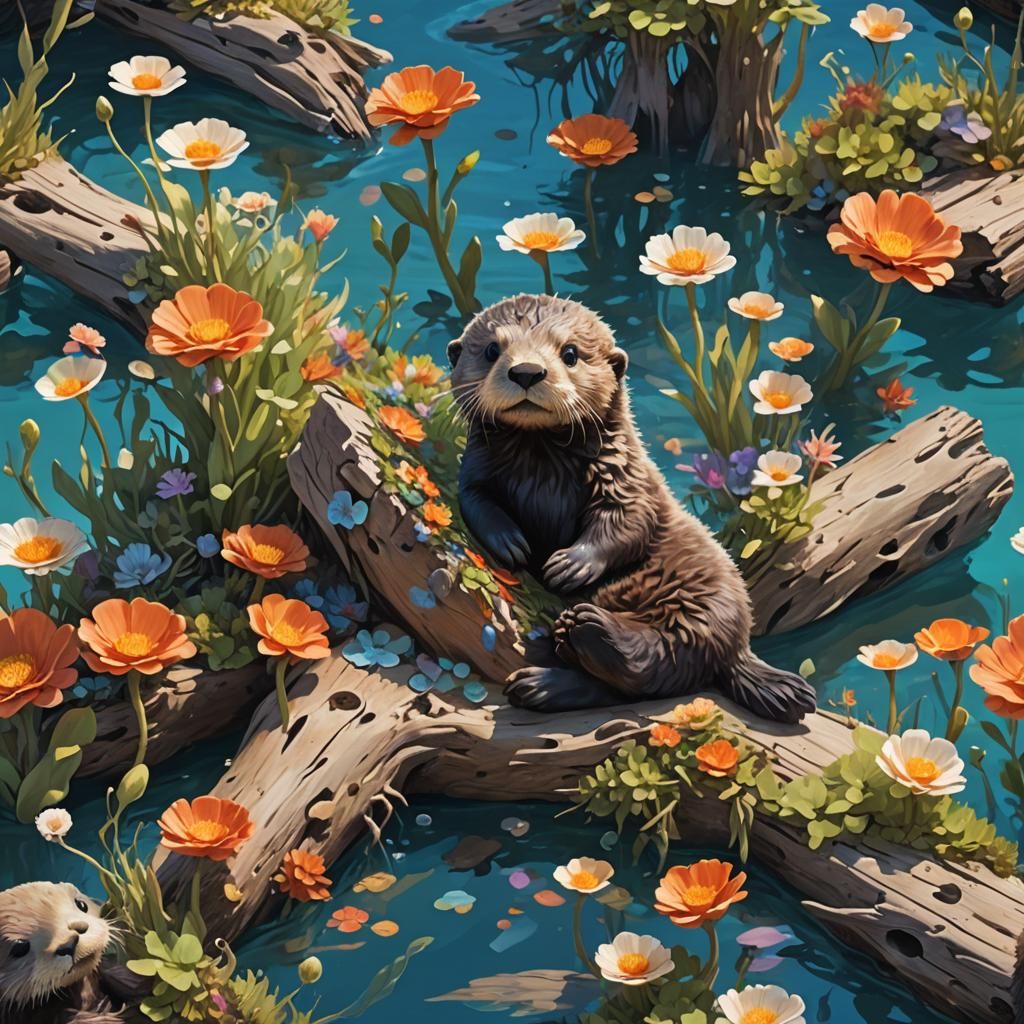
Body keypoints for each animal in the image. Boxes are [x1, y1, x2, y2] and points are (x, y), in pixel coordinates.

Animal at [448, 294, 815, 723]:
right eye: (492, 350)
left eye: (569, 353)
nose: (526, 371)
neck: (540, 463)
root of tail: (739, 646)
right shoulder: (475, 469)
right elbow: (474, 501)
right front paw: (510, 542)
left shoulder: (625, 475)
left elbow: (627, 523)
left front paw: (571, 564)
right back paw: (542, 681)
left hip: (703, 598)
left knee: (655, 662)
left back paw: (589, 629)